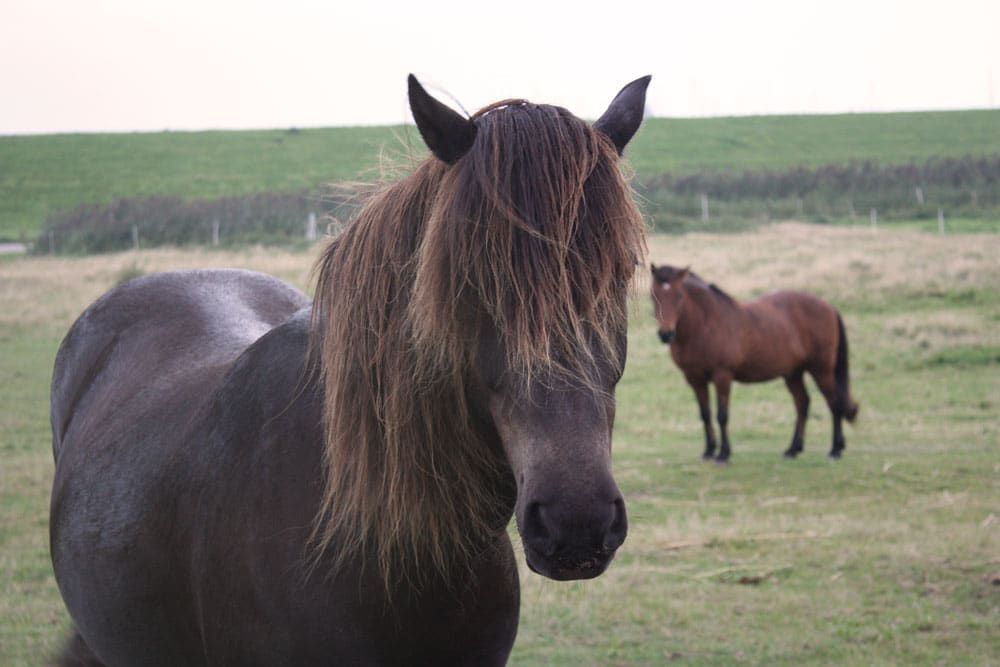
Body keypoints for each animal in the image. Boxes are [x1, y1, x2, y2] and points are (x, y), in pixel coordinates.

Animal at [648, 264, 860, 462]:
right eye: (653, 295)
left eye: (679, 296)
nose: (666, 334)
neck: (706, 324)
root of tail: (828, 306)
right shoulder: (695, 379)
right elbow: (705, 414)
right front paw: (709, 451)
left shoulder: (722, 376)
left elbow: (722, 415)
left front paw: (723, 454)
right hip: (793, 373)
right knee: (803, 404)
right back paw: (793, 449)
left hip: (821, 370)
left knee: (834, 403)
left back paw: (835, 449)